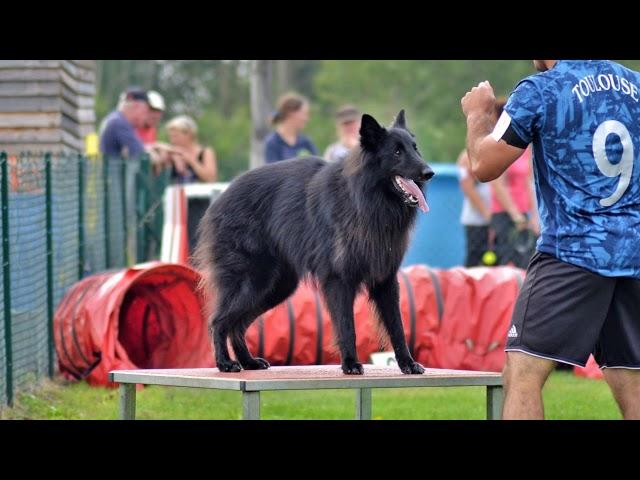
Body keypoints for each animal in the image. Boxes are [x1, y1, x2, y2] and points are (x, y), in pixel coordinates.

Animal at [195, 109, 436, 376]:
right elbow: (346, 326)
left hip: (275, 288)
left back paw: (248, 361)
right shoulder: (339, 280)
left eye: (415, 148)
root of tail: (220, 198)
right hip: (254, 282)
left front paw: (407, 363)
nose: (429, 173)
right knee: (218, 321)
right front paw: (350, 363)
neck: (366, 199)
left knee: (237, 324)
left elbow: (397, 327)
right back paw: (225, 363)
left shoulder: (386, 281)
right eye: (396, 152)